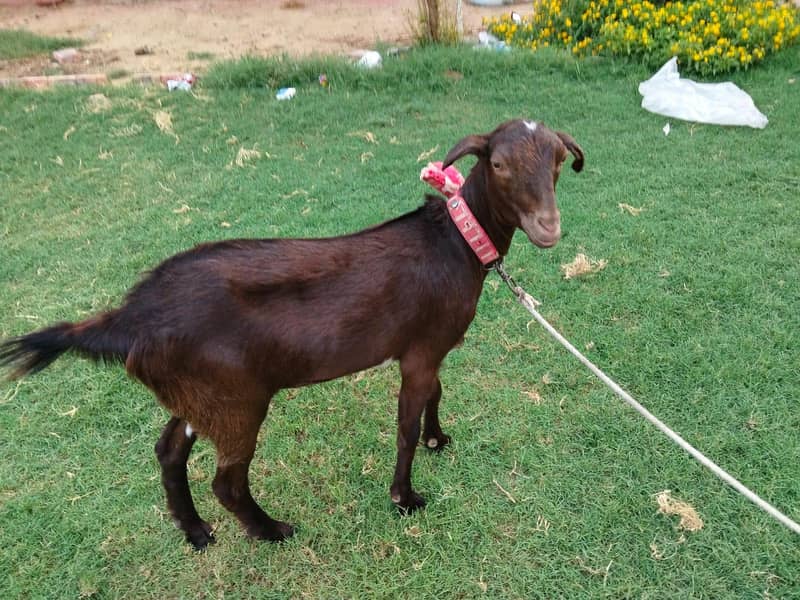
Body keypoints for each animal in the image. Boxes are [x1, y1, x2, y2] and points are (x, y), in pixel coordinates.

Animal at [0, 119, 583, 549]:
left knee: (169, 450)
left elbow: (436, 396)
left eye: (558, 161)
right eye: (499, 164)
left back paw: (196, 532)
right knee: (227, 480)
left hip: (199, 394)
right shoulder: (419, 350)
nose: (548, 228)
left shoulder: (428, 347)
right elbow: (406, 424)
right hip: (236, 399)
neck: (457, 242)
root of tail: (127, 318)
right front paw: (404, 498)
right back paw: (271, 530)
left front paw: (439, 440)